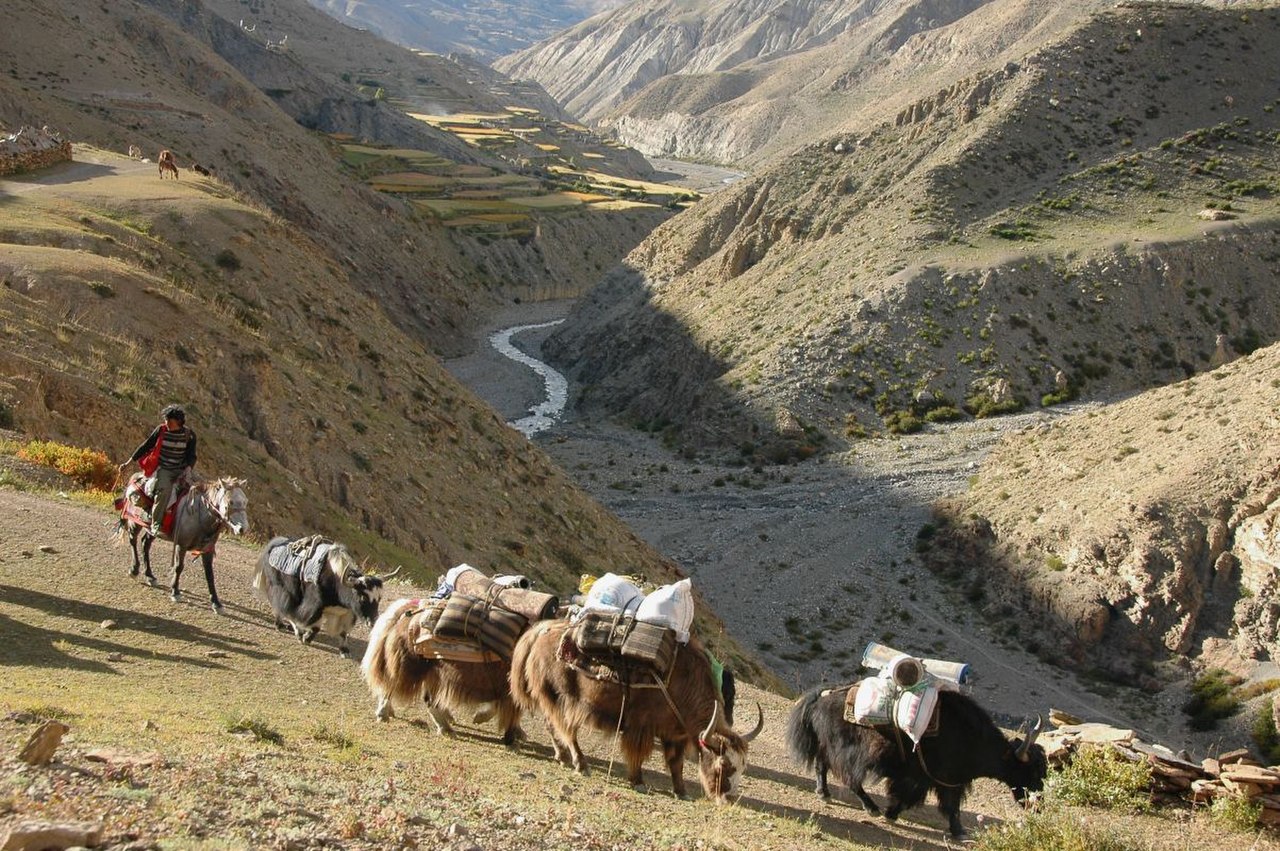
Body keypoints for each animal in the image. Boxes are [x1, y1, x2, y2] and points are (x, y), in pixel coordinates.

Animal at [117, 470, 247, 611]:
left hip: (153, 530)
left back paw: (150, 576)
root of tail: (136, 476)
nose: (242, 529)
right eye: (230, 502)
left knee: (145, 544)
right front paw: (175, 592)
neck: (199, 514)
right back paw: (134, 570)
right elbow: (179, 567)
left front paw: (216, 603)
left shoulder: (207, 550)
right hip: (135, 522)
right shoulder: (181, 545)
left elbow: (210, 575)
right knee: (133, 541)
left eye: (245, 502)